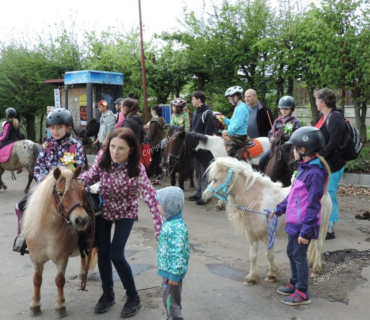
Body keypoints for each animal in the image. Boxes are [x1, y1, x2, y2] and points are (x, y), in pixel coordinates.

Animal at [21, 165, 97, 318]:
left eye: (81, 192)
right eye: (61, 193)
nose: (82, 220)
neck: (47, 232)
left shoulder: (62, 258)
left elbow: (59, 281)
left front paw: (60, 307)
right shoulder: (35, 259)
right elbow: (36, 280)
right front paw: (35, 305)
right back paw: (82, 274)